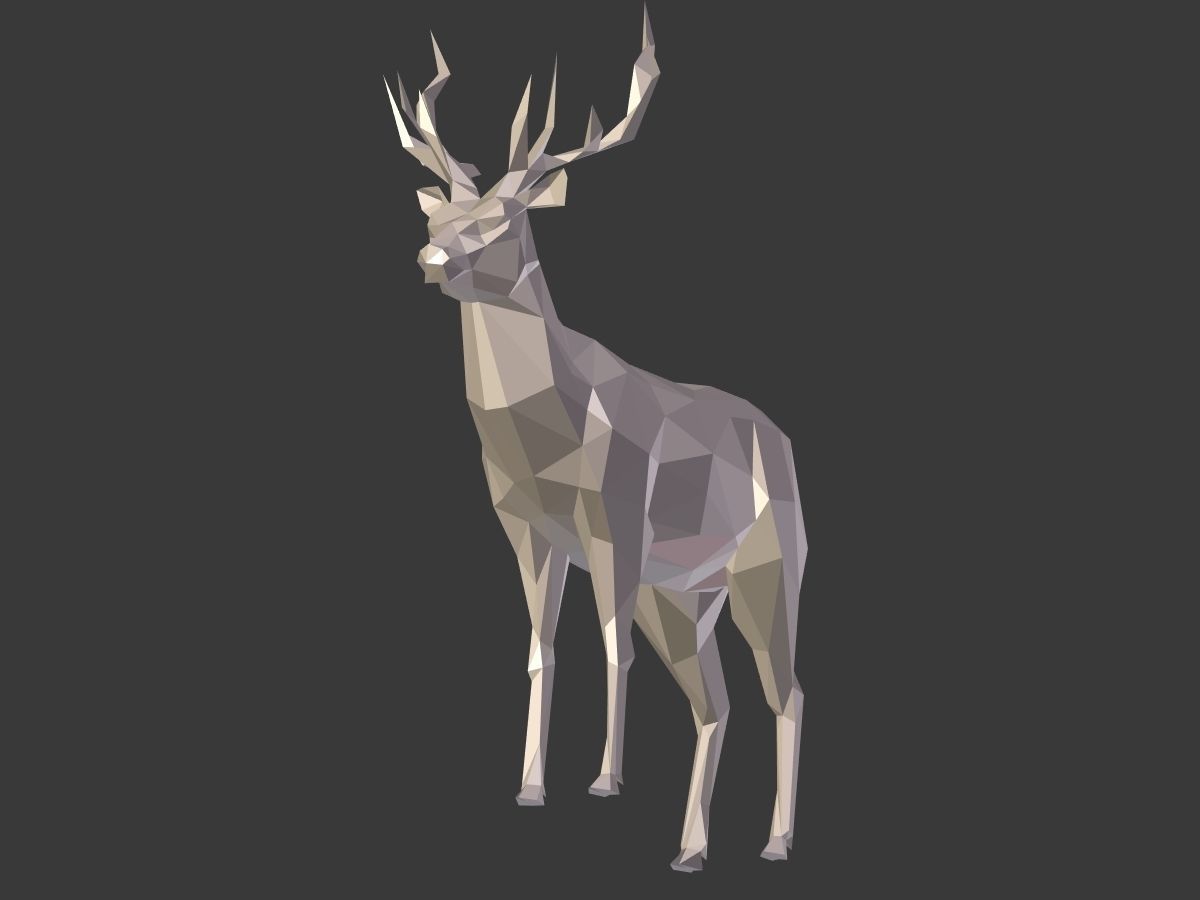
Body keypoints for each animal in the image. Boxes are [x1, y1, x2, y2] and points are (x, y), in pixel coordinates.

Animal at [384, 8, 806, 873]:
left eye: (504, 220)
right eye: (438, 215)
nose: (431, 257)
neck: (549, 437)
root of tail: (785, 447)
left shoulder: (615, 519)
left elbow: (612, 648)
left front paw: (605, 780)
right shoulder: (526, 528)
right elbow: (542, 646)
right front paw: (530, 786)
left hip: (771, 570)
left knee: (788, 691)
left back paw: (777, 842)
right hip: (683, 597)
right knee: (714, 701)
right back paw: (691, 850)